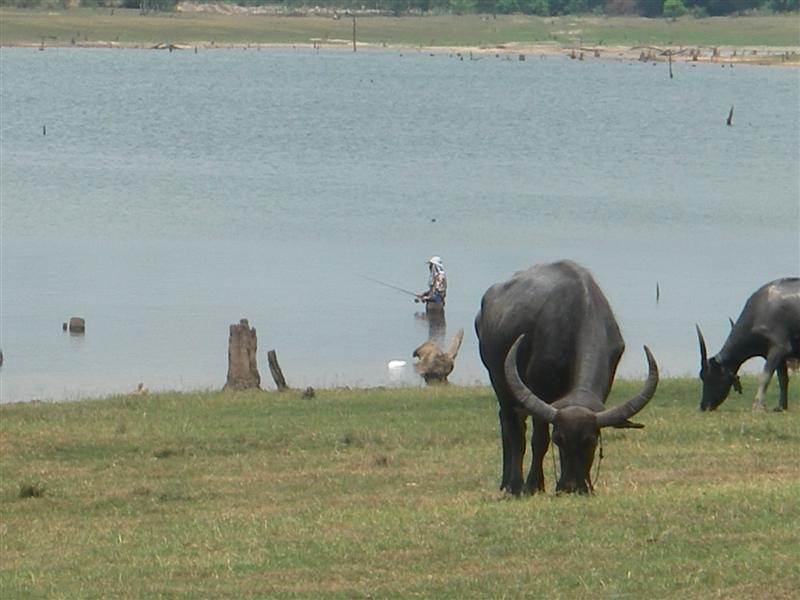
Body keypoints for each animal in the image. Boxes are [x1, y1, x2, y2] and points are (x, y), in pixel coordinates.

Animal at [476, 260, 656, 494]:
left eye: (590, 441)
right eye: (558, 440)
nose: (571, 487)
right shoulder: (539, 390)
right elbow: (538, 441)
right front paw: (534, 485)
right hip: (498, 380)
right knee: (513, 429)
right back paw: (513, 485)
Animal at [692, 278, 800, 412]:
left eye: (709, 376)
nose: (704, 406)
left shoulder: (779, 348)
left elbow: (765, 377)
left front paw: (757, 406)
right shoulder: (778, 355)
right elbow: (783, 379)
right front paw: (781, 406)